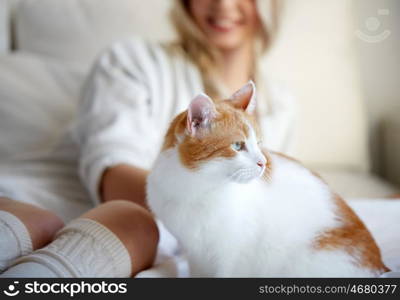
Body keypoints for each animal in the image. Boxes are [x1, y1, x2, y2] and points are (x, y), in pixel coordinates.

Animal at [146, 81, 388, 276]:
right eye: (238, 146)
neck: (196, 188)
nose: (263, 162)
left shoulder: (231, 257)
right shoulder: (196, 255)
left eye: (259, 143)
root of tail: (380, 267)